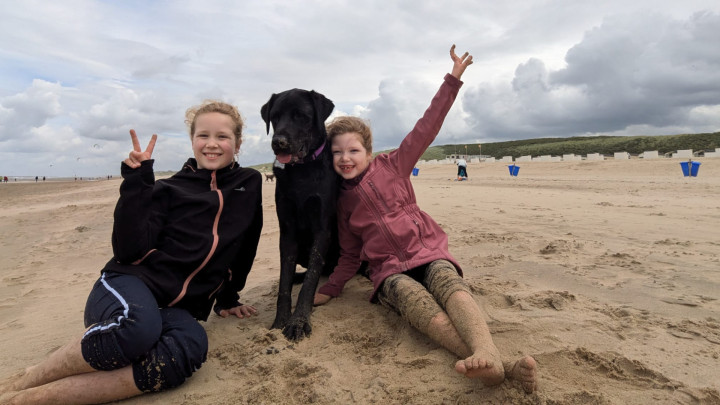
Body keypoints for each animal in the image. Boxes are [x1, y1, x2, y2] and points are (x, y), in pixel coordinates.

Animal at [260, 89, 338, 340]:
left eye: (301, 116)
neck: (303, 171)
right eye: (274, 117)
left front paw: (299, 321)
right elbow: (284, 281)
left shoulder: (322, 230)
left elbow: (312, 277)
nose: (278, 143)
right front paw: (281, 320)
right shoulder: (287, 231)